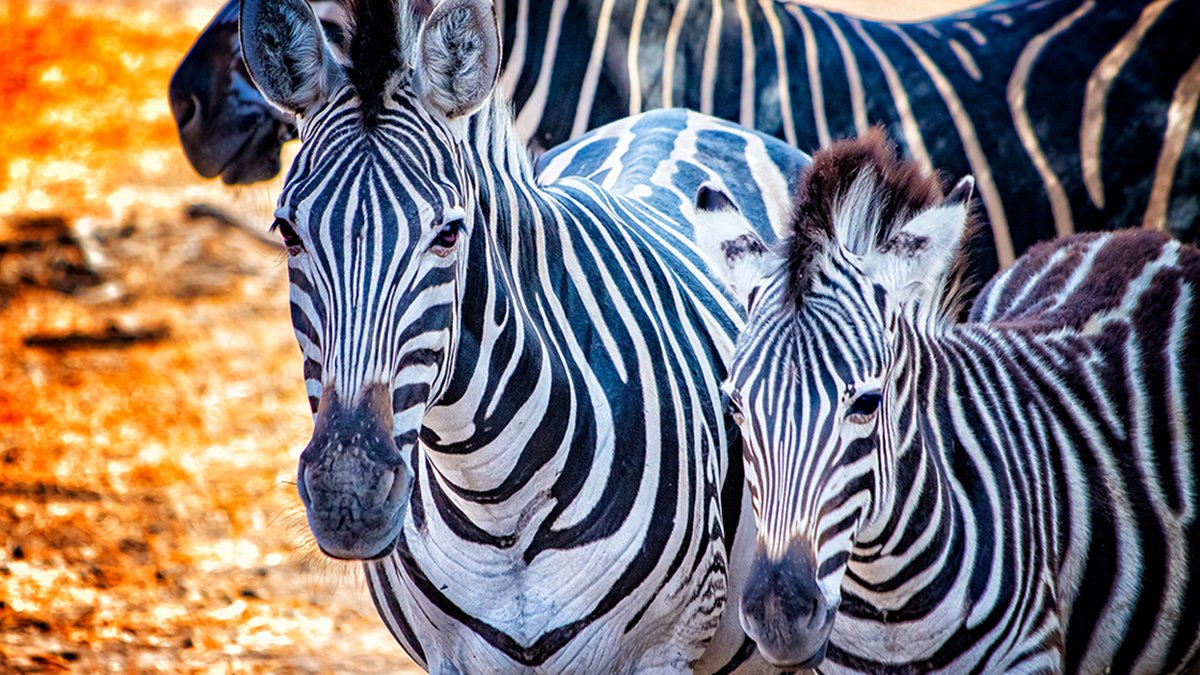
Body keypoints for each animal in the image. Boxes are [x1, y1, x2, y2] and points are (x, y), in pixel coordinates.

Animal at [238, 0, 811, 670]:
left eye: (449, 234)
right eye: (287, 232)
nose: (348, 496)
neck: (497, 497)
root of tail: (682, 115)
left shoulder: (665, 647)